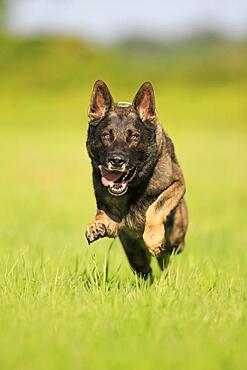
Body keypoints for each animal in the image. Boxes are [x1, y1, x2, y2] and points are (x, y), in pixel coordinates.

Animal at [86, 80, 188, 278]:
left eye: (134, 136)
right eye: (106, 135)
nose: (116, 160)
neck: (134, 188)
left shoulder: (178, 184)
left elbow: (156, 207)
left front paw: (153, 239)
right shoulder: (114, 223)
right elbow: (103, 214)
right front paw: (96, 225)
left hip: (176, 238)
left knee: (167, 255)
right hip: (134, 255)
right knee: (146, 270)